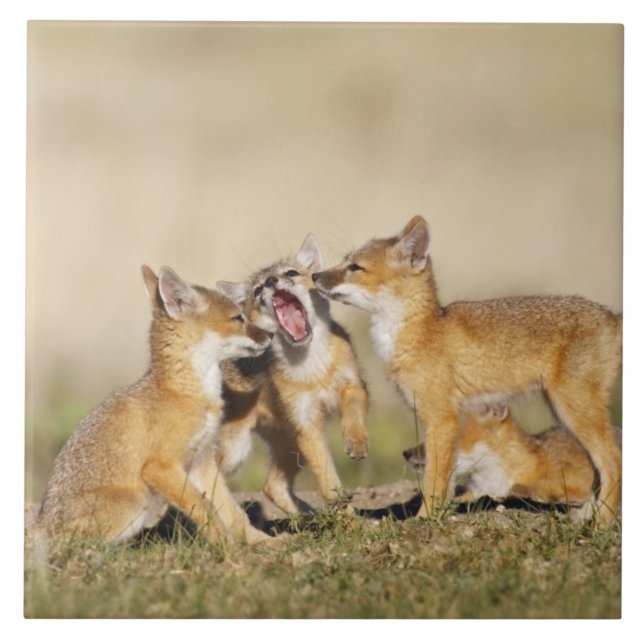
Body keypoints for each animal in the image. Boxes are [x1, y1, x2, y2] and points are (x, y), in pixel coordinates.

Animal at [36, 266, 275, 545]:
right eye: (238, 318)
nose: (271, 334)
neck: (187, 392)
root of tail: (42, 521)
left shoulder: (201, 460)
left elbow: (232, 510)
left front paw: (261, 541)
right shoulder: (159, 467)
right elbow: (203, 506)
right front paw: (224, 545)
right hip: (135, 503)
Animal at [215, 234, 369, 515]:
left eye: (291, 273)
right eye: (258, 290)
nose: (271, 282)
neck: (313, 369)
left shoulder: (353, 385)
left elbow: (353, 414)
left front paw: (356, 441)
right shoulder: (307, 427)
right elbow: (329, 484)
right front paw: (348, 521)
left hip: (289, 446)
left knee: (271, 486)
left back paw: (308, 518)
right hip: (236, 451)